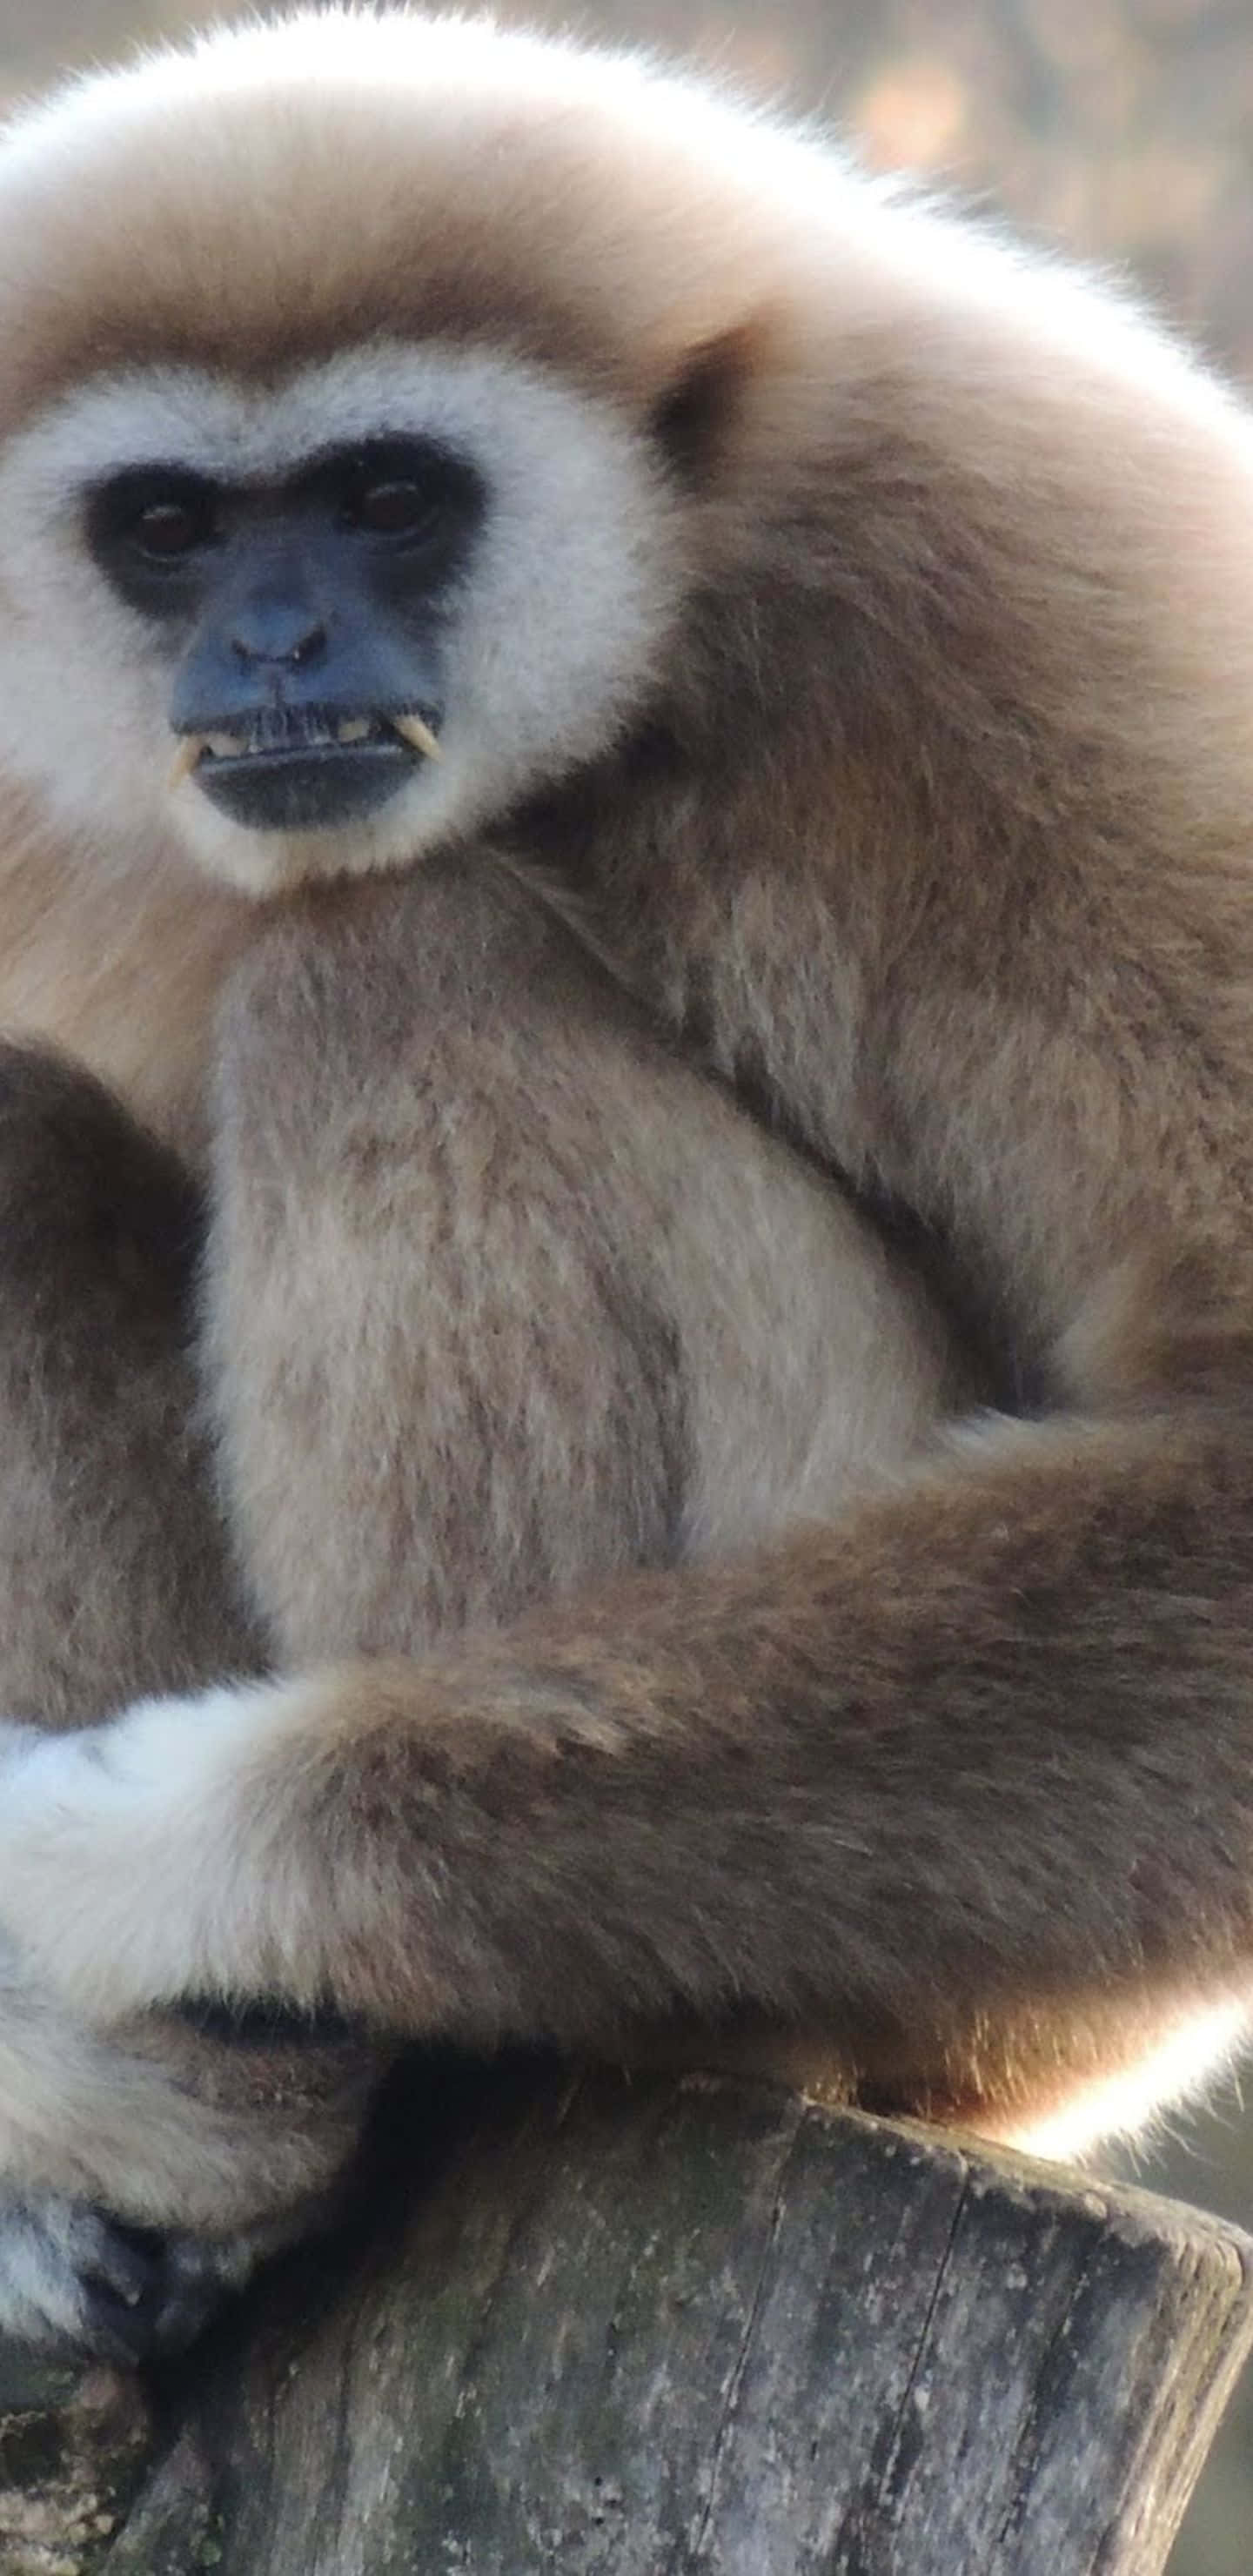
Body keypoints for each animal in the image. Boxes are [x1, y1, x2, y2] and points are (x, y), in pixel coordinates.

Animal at [0, 2, 1252, 2345]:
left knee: (386, 967)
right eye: (169, 525)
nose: (274, 643)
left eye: (390, 498)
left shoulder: (1036, 573)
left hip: (952, 2001)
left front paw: (145, 1859)